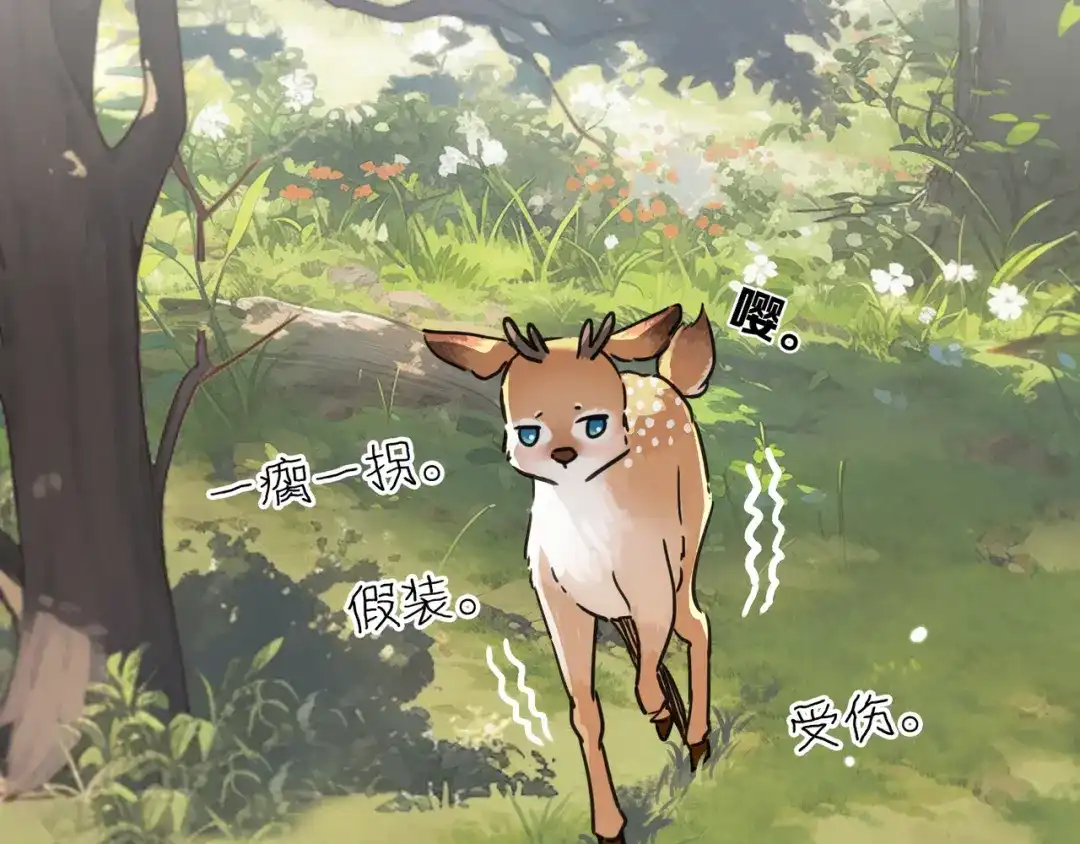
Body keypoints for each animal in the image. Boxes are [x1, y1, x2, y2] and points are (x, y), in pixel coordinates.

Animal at [422, 304, 716, 844]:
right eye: (526, 432)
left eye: (595, 424)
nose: (563, 454)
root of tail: (664, 380)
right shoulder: (557, 600)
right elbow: (586, 713)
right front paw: (610, 827)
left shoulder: (652, 587)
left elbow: (646, 671)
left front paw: (659, 713)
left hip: (688, 543)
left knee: (696, 623)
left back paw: (697, 741)